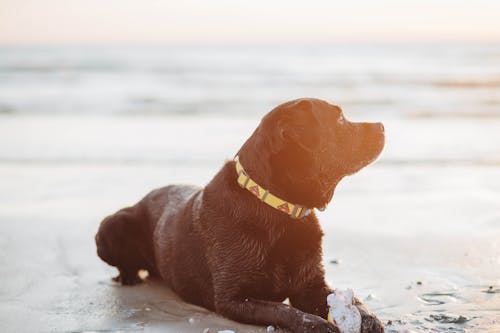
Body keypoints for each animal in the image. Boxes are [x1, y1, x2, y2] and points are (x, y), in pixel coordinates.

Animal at [95, 97, 384, 330]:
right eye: (339, 119)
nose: (381, 125)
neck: (278, 209)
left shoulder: (311, 285)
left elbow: (344, 299)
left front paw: (367, 316)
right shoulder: (232, 299)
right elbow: (283, 309)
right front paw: (316, 325)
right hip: (111, 226)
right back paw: (129, 276)